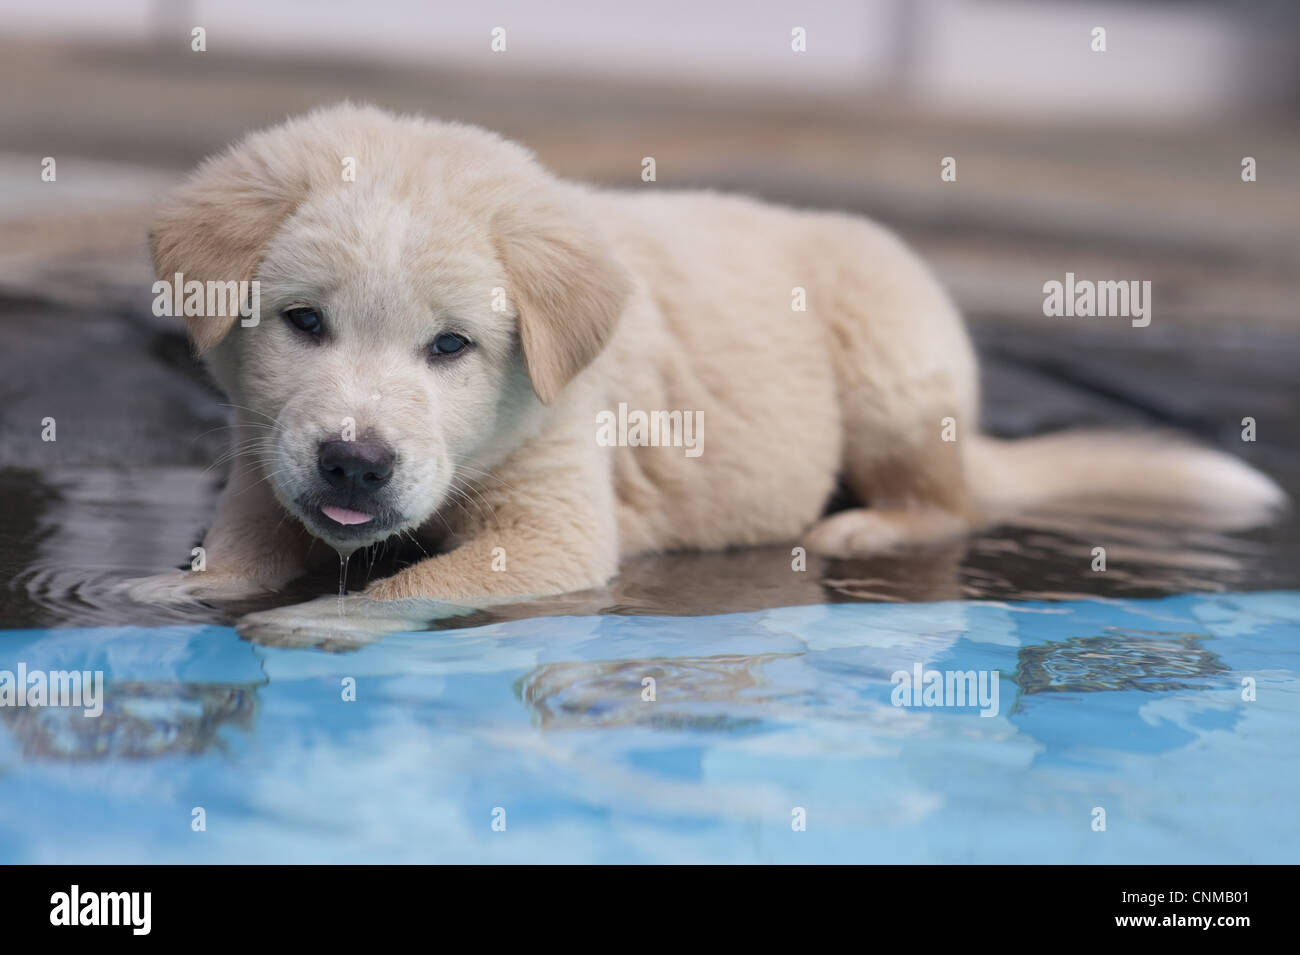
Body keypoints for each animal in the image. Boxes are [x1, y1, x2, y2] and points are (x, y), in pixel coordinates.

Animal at [134, 104, 1289, 608]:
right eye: (304, 324)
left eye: (451, 346)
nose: (354, 463)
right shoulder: (264, 458)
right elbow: (238, 551)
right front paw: (168, 593)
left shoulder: (556, 524)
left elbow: (401, 591)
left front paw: (312, 634)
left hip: (892, 360)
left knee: (950, 500)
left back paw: (869, 525)